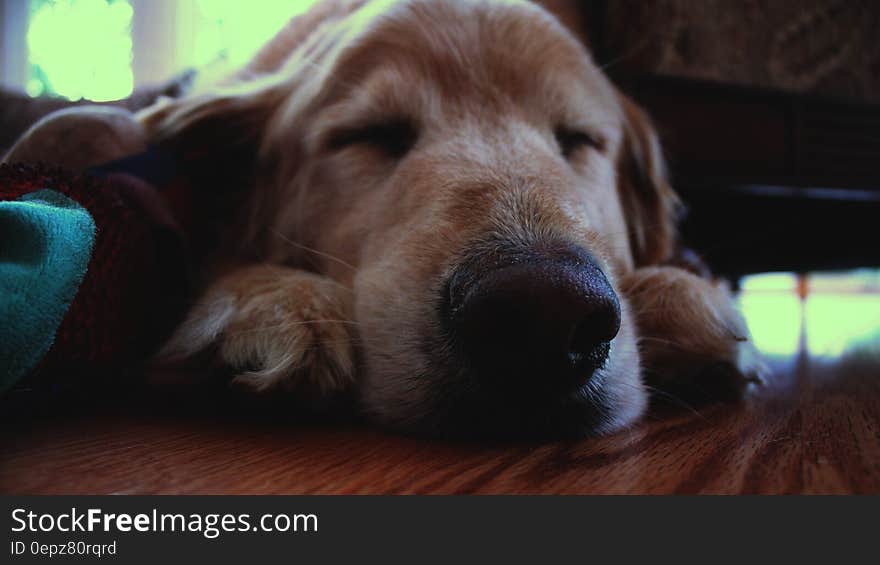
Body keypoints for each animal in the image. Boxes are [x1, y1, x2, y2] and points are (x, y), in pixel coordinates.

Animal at [5, 0, 764, 438]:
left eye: (577, 138)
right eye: (368, 135)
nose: (544, 314)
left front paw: (680, 296)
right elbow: (96, 129)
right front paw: (270, 300)